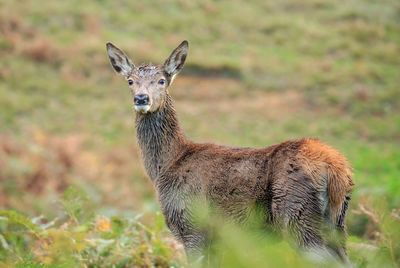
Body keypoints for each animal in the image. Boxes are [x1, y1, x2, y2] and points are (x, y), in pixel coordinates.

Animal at [105, 40, 354, 264]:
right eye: (130, 81)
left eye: (161, 80)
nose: (141, 98)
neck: (167, 165)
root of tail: (336, 168)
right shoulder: (216, 239)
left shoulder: (193, 225)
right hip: (337, 223)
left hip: (297, 214)